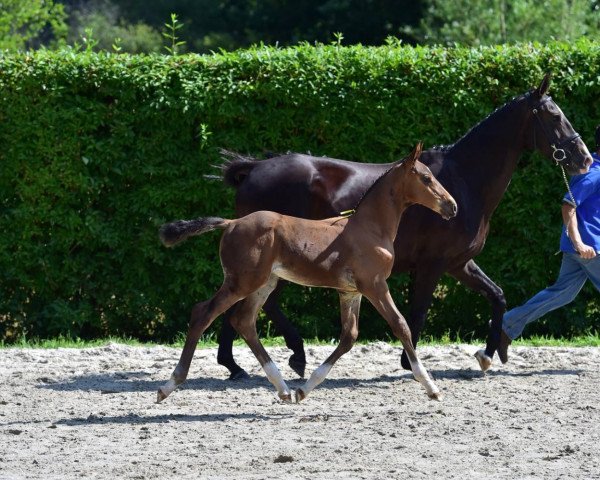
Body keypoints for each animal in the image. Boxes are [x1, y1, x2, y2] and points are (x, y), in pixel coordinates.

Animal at [157, 143, 458, 404]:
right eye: (427, 178)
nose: (452, 206)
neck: (370, 228)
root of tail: (231, 223)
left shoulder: (350, 291)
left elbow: (349, 337)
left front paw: (304, 390)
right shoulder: (375, 285)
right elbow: (401, 325)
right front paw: (431, 387)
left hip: (264, 282)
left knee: (244, 321)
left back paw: (283, 388)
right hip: (242, 282)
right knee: (203, 313)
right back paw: (169, 386)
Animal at [214, 74, 592, 378]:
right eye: (554, 115)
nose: (584, 158)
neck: (463, 180)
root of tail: (253, 169)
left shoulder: (459, 263)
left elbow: (496, 295)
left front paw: (489, 354)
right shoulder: (431, 265)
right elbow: (418, 313)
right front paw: (408, 363)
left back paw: (235, 364)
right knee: (255, 303)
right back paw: (293, 355)